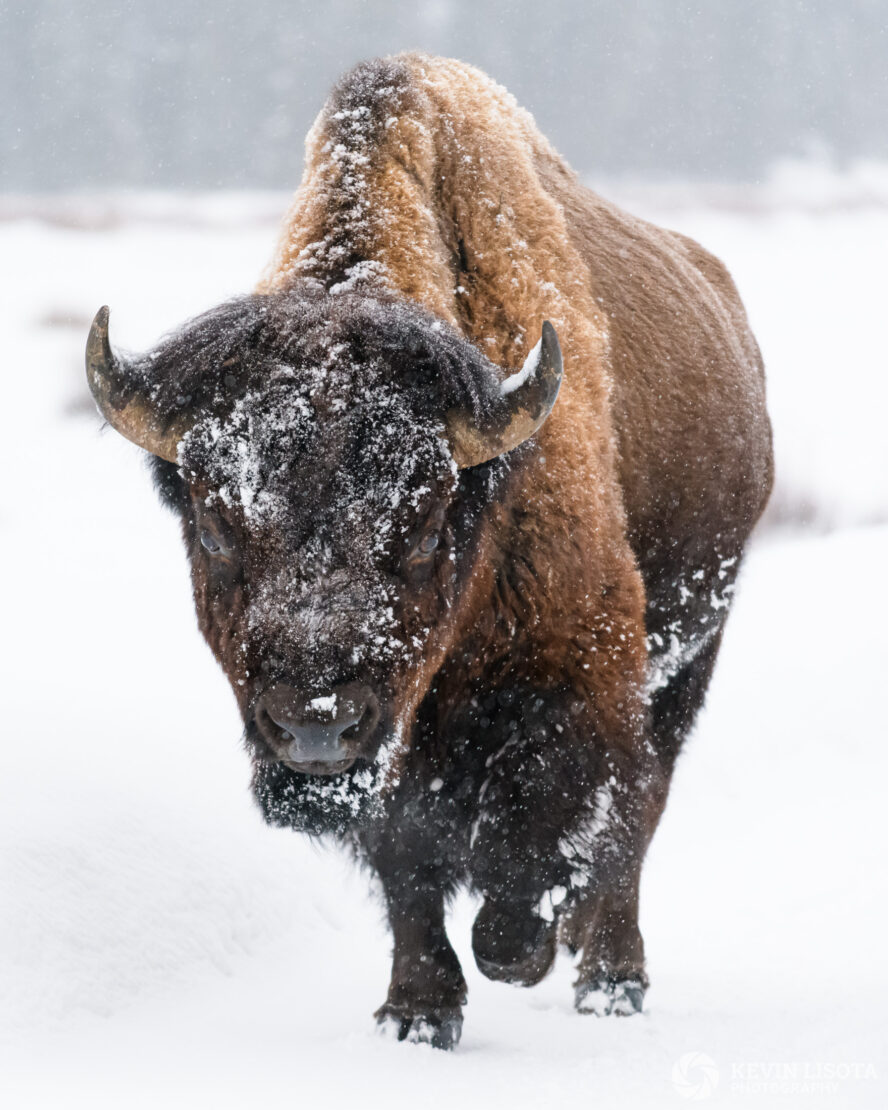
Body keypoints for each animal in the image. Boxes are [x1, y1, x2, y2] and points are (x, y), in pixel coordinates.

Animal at [86, 56, 772, 1052]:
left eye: (420, 521)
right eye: (214, 523)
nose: (314, 724)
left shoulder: (575, 677)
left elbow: (543, 839)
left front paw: (519, 950)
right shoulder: (395, 746)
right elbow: (407, 863)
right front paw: (415, 1013)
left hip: (688, 653)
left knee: (639, 808)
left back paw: (608, 976)